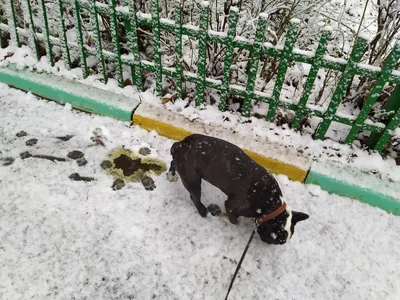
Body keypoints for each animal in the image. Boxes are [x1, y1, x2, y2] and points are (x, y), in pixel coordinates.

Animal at [166, 135, 310, 245]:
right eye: (277, 240)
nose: (273, 243)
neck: (271, 206)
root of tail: (182, 144)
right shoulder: (231, 206)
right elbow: (235, 221)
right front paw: (221, 215)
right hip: (193, 180)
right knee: (194, 196)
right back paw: (203, 211)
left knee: (173, 163)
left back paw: (171, 175)